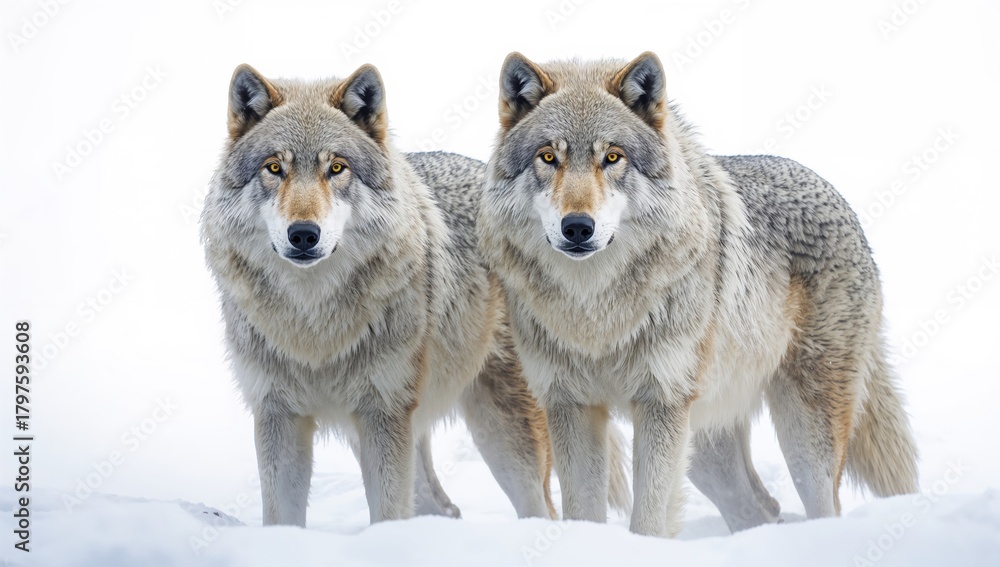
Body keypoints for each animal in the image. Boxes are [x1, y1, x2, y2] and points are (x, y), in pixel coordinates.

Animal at [478, 51, 919, 537]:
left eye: (613, 157)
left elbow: (649, 520)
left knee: (823, 507)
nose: (577, 227)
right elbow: (583, 513)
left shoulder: (661, 401)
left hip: (801, 433)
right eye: (548, 156)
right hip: (707, 448)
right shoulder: (570, 405)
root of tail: (839, 198)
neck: (596, 311)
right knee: (759, 508)